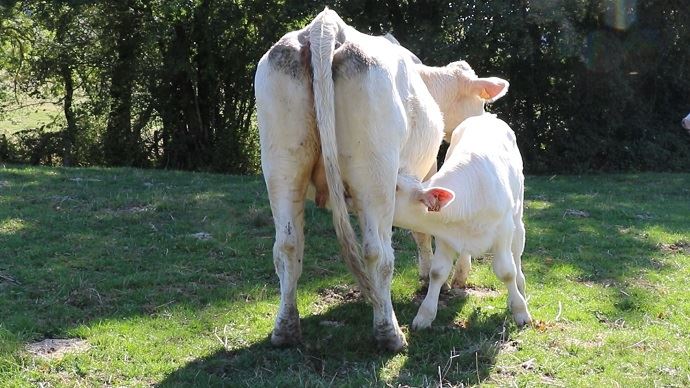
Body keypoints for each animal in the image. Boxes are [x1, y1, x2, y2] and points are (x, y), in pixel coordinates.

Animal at [255, 7, 444, 350]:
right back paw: (389, 333)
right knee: (376, 251)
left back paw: (285, 330)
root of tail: (324, 26)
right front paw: (426, 274)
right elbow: (423, 229)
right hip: (375, 173)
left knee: (287, 246)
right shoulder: (427, 171)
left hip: (282, 164)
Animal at [390, 98, 528, 328]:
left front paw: (520, 310)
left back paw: (521, 288)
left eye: (395, 188)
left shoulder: (503, 231)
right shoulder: (444, 235)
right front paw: (424, 315)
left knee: (517, 253)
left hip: (517, 217)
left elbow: (507, 271)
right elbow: (437, 272)